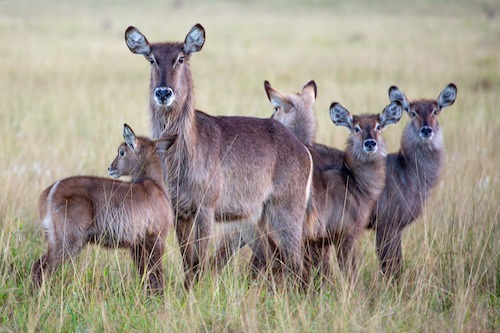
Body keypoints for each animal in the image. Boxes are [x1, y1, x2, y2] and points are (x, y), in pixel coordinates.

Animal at [31, 124, 176, 290]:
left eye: (121, 152)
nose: (110, 168)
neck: (155, 186)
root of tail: (48, 191)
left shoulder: (138, 244)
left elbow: (144, 273)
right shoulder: (155, 237)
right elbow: (156, 273)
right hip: (68, 240)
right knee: (40, 267)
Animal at [125, 24, 312, 286]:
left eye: (181, 58)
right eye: (152, 59)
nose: (163, 93)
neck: (182, 155)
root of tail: (302, 147)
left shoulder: (206, 208)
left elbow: (199, 262)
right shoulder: (180, 210)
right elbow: (188, 262)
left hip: (287, 212)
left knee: (298, 264)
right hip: (256, 219)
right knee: (275, 259)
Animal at [370, 83, 458, 274]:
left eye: (435, 111)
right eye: (413, 112)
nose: (426, 130)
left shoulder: (394, 227)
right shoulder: (387, 224)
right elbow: (391, 263)